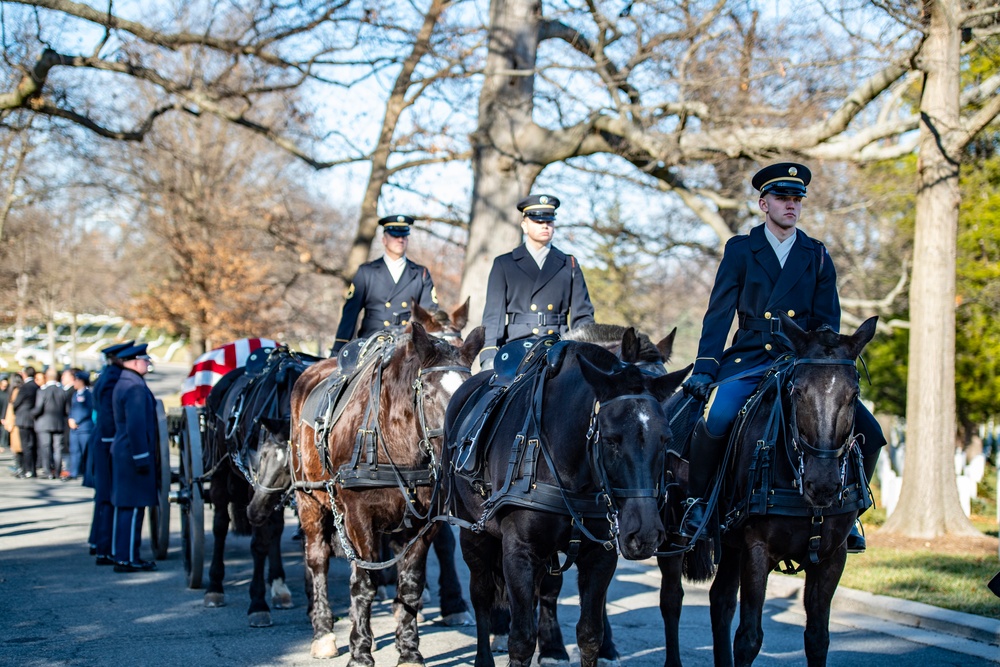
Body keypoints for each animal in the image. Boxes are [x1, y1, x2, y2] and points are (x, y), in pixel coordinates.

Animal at [200, 348, 316, 628]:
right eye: (261, 456)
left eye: (294, 463)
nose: (252, 512)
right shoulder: (255, 486)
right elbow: (259, 543)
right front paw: (257, 603)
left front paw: (313, 605)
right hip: (221, 473)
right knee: (220, 524)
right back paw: (214, 586)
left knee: (274, 527)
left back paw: (279, 586)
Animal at [290, 312, 484, 664]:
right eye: (429, 395)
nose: (459, 452)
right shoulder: (357, 517)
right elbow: (364, 582)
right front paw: (360, 652)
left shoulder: (422, 526)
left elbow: (409, 585)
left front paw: (409, 650)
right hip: (308, 499)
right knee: (317, 558)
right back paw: (323, 630)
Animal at [446, 332, 688, 667]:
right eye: (610, 439)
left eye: (665, 437)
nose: (646, 533)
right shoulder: (519, 552)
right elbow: (521, 640)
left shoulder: (600, 555)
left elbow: (590, 634)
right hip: (473, 533)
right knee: (481, 593)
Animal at [704, 314, 876, 667]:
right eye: (797, 392)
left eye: (854, 395)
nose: (823, 485)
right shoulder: (757, 550)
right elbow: (748, 638)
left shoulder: (832, 556)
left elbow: (818, 638)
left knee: (721, 600)